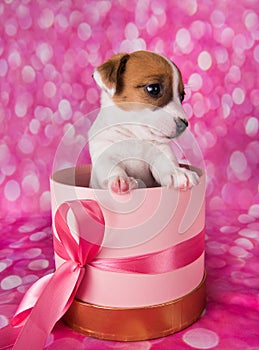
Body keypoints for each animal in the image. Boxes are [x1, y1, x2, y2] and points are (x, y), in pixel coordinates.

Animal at [88, 50, 200, 193]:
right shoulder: (104, 155)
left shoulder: (160, 153)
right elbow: (112, 168)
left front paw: (177, 172)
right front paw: (119, 179)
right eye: (154, 89)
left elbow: (167, 164)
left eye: (182, 96)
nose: (185, 124)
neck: (134, 137)